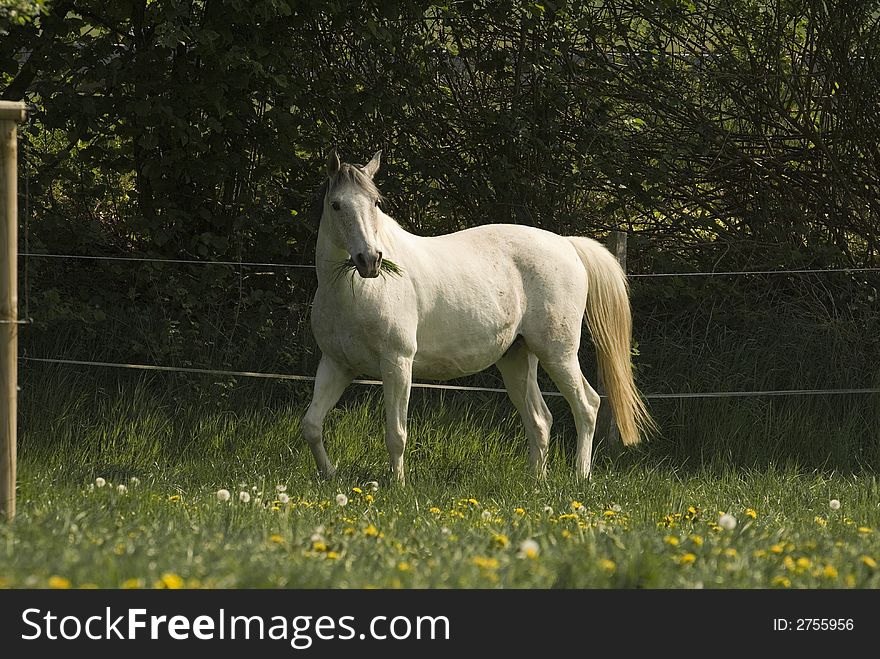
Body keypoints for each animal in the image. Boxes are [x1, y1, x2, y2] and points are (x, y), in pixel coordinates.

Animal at [302, 150, 652, 482]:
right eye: (336, 205)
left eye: (375, 203)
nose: (371, 260)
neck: (352, 291)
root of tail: (567, 245)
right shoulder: (337, 365)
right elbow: (312, 425)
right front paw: (329, 474)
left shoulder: (397, 364)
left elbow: (396, 434)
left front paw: (397, 484)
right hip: (517, 358)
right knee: (540, 420)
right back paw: (536, 481)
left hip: (558, 354)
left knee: (587, 406)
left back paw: (580, 476)